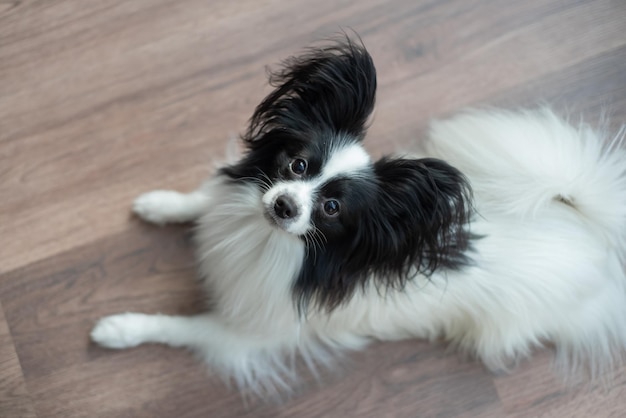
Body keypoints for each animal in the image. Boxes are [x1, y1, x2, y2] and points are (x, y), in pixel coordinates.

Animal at [90, 35, 624, 396]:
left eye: (331, 209)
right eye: (297, 165)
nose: (284, 205)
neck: (269, 239)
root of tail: (589, 232)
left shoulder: (245, 334)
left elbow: (176, 327)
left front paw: (119, 329)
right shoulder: (247, 194)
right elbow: (202, 199)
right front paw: (160, 203)